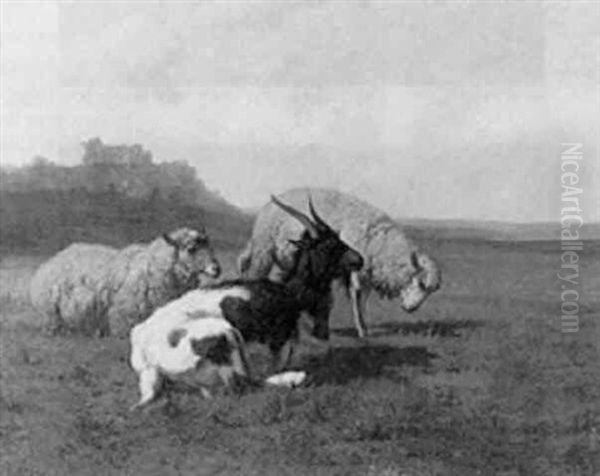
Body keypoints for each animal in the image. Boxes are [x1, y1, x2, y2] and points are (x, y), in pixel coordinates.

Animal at [29, 228, 221, 336]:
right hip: (51, 316)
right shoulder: (123, 320)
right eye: (191, 248)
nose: (217, 268)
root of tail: (53, 260)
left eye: (210, 247)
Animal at [238, 186, 440, 338]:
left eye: (430, 290)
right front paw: (361, 331)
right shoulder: (356, 271)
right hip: (263, 252)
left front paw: (364, 327)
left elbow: (359, 298)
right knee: (253, 276)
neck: (380, 242)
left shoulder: (362, 271)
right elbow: (356, 296)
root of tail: (267, 207)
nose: (412, 309)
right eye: (421, 284)